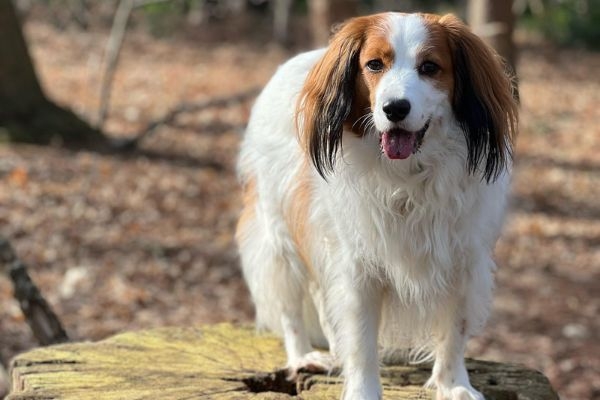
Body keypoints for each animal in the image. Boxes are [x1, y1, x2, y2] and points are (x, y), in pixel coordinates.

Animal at [237, 11, 516, 400]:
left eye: (430, 67)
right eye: (373, 65)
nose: (394, 108)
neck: (408, 178)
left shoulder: (464, 261)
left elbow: (454, 332)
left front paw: (454, 385)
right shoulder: (359, 266)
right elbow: (361, 340)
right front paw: (363, 390)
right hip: (281, 238)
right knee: (290, 307)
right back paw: (303, 355)